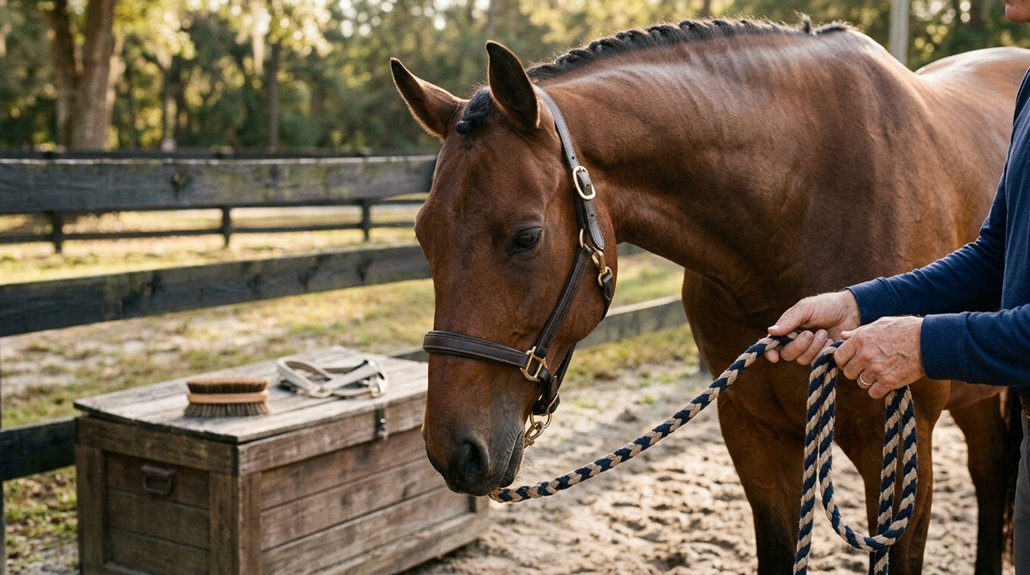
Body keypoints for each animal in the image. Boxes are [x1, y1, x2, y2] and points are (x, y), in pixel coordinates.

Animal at [391, 18, 1030, 574]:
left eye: (526, 238)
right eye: (422, 235)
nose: (454, 451)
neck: (801, 201)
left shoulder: (898, 442)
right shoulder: (751, 431)